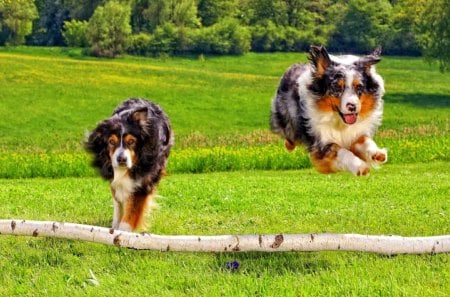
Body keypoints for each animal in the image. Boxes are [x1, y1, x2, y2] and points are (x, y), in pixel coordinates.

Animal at [85, 98, 173, 230]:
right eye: (111, 142)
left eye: (131, 141)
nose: (122, 159)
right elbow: (118, 199)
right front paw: (115, 227)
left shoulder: (144, 181)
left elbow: (132, 210)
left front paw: (123, 231)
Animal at [268, 45, 388, 175]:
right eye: (337, 87)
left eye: (359, 87)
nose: (352, 107)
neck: (339, 121)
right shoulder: (321, 144)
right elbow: (342, 151)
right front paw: (360, 166)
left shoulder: (355, 133)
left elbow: (365, 140)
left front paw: (378, 153)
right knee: (289, 137)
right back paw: (289, 146)